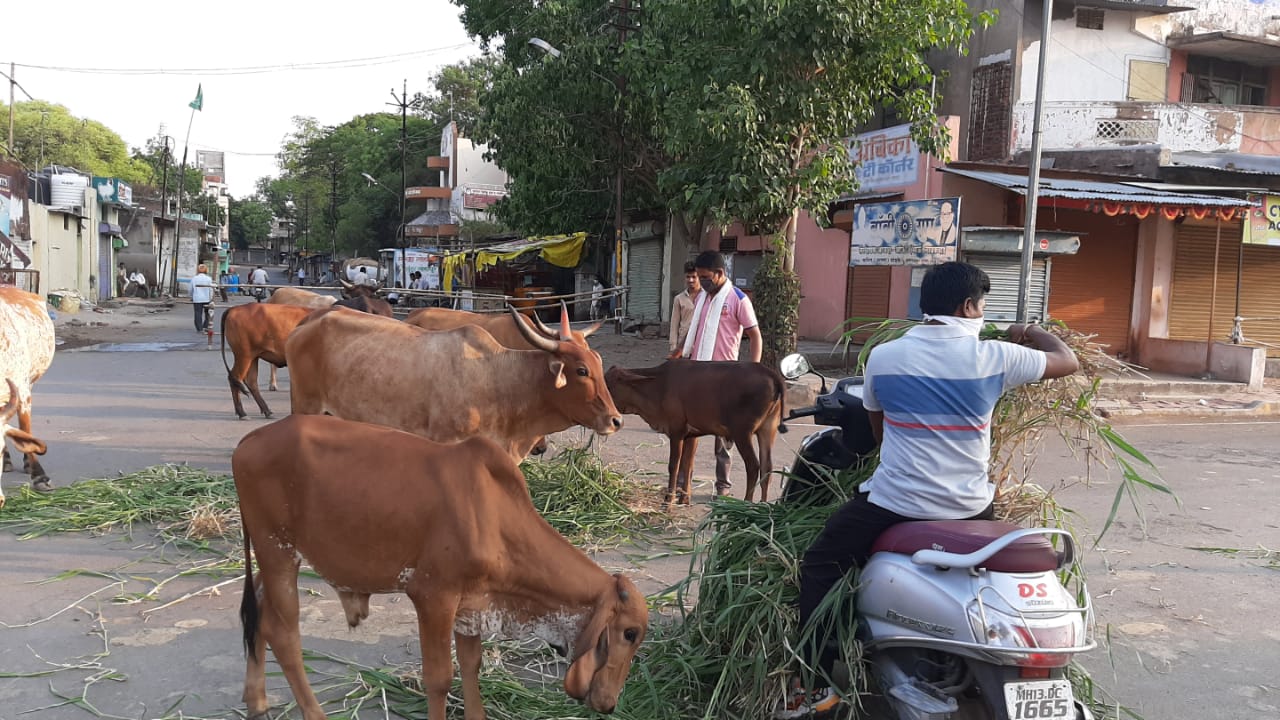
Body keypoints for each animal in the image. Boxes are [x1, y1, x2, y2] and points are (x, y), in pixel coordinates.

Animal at [232, 412, 650, 717]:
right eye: (629, 633)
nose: (609, 703)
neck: (495, 518)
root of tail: (248, 441)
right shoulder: (433, 597)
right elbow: (439, 678)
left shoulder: (472, 604)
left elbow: (471, 665)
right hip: (278, 550)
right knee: (283, 633)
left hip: (276, 557)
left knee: (258, 614)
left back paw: (257, 701)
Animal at [286, 301, 624, 456]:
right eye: (581, 370)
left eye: (598, 361)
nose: (616, 420)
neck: (499, 380)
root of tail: (310, 319)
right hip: (306, 405)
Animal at [604, 358, 783, 504]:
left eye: (608, 386)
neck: (659, 385)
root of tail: (771, 374)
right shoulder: (690, 435)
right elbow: (687, 465)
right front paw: (684, 498)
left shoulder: (676, 431)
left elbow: (674, 466)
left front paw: (668, 500)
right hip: (767, 430)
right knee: (767, 467)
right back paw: (763, 506)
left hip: (742, 433)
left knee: (753, 466)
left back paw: (746, 504)